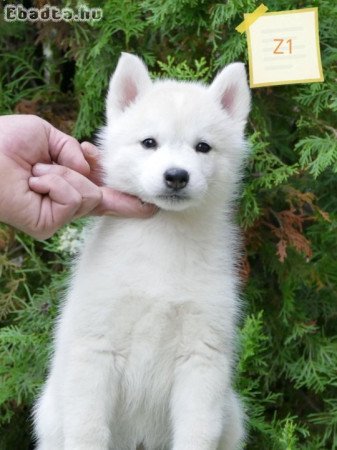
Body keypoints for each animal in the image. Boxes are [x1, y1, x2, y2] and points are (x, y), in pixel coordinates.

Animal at [33, 53, 249, 450]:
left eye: (203, 147)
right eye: (149, 142)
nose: (176, 176)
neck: (163, 235)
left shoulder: (202, 359)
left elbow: (196, 432)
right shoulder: (95, 351)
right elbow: (87, 430)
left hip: (231, 417)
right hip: (52, 417)